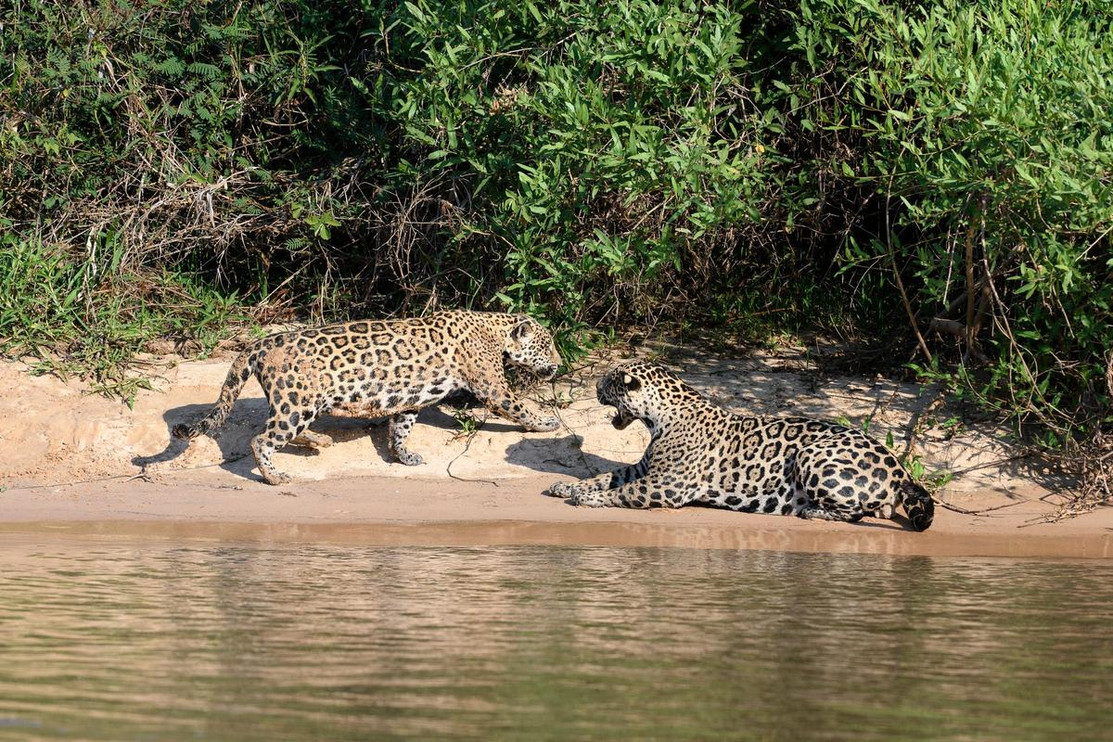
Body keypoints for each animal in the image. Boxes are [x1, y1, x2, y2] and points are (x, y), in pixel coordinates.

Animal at [173, 310, 563, 485]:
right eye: (547, 345)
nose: (559, 364)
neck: (496, 330)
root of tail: (262, 341)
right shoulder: (493, 387)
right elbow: (518, 408)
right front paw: (546, 423)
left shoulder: (411, 399)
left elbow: (402, 426)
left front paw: (403, 455)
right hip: (296, 403)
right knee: (262, 439)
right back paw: (275, 477)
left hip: (298, 403)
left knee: (281, 431)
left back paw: (321, 442)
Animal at [546, 361, 935, 531]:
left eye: (611, 380)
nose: (595, 386)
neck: (659, 416)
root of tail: (900, 467)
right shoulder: (644, 469)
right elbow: (605, 477)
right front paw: (566, 486)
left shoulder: (666, 485)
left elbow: (623, 492)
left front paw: (587, 499)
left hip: (812, 455)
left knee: (854, 513)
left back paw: (811, 511)